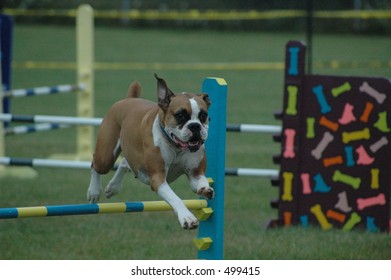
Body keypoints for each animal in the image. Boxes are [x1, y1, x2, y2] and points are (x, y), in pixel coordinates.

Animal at [87, 74, 214, 230]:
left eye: (203, 115)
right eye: (180, 115)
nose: (195, 126)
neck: (176, 146)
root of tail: (128, 99)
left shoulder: (195, 173)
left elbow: (201, 181)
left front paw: (205, 189)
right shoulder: (158, 179)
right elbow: (175, 198)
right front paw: (187, 217)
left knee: (125, 163)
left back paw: (113, 187)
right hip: (105, 157)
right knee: (95, 164)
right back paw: (94, 191)